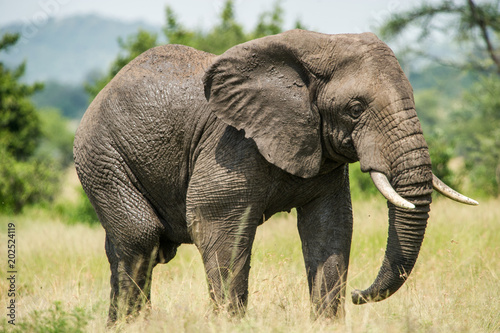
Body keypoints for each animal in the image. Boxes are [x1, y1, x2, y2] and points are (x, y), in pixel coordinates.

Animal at [73, 29, 476, 322]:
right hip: (102, 157)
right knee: (142, 240)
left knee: (125, 249)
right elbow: (215, 226)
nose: (359, 294)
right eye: (355, 109)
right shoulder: (231, 146)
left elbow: (330, 228)